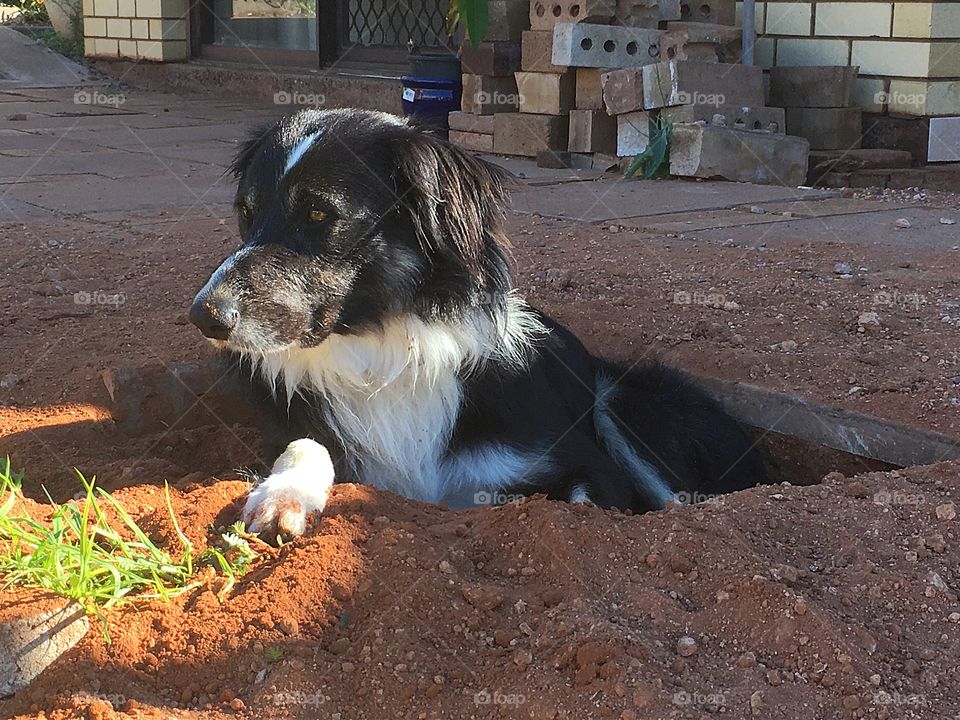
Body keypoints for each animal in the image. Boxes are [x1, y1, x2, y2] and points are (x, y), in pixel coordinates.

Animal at [191, 109, 764, 536]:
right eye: (246, 212)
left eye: (319, 214)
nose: (203, 316)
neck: (384, 353)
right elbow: (305, 444)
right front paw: (284, 496)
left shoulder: (583, 468)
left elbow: (576, 507)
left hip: (623, 397)